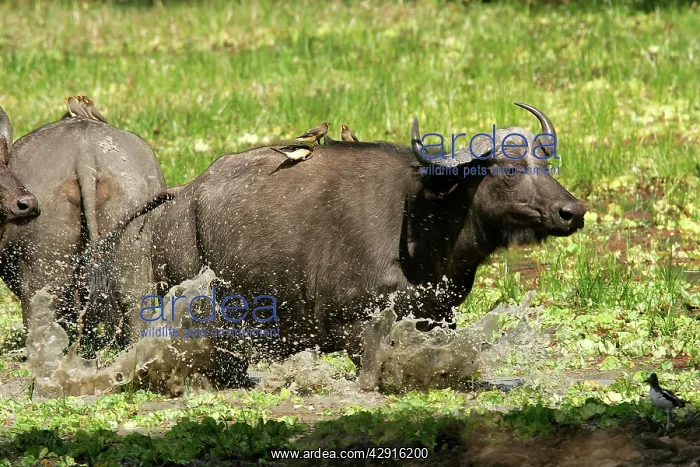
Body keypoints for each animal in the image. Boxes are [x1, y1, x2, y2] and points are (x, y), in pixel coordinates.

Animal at [92, 103, 585, 385]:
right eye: (508, 168)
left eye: (544, 163)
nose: (572, 211)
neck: (422, 225)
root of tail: (182, 195)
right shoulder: (353, 326)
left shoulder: (437, 318)